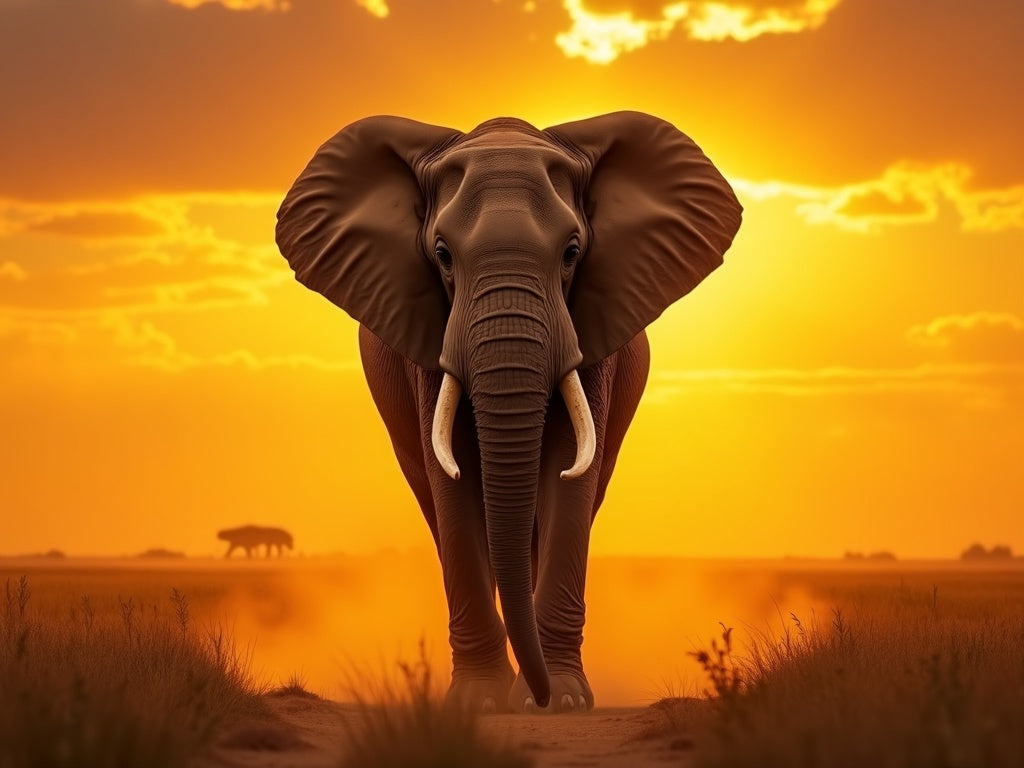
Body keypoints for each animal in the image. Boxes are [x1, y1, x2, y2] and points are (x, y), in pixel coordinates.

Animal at [275, 111, 741, 713]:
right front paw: (478, 703)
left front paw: (563, 701)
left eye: (571, 253)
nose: (537, 699)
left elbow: (570, 472)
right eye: (442, 255)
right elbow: (451, 477)